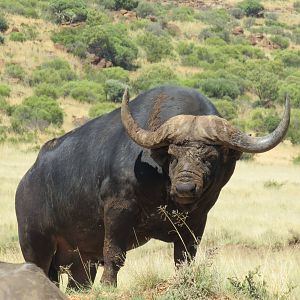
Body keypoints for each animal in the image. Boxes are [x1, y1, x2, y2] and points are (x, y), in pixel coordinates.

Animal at [14, 85, 290, 288]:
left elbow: (184, 258)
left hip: (80, 262)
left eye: (210, 157)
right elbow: (114, 252)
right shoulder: (118, 209)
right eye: (173, 154)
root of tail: (25, 183)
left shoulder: (197, 221)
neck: (163, 187)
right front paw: (108, 286)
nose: (185, 188)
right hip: (36, 246)